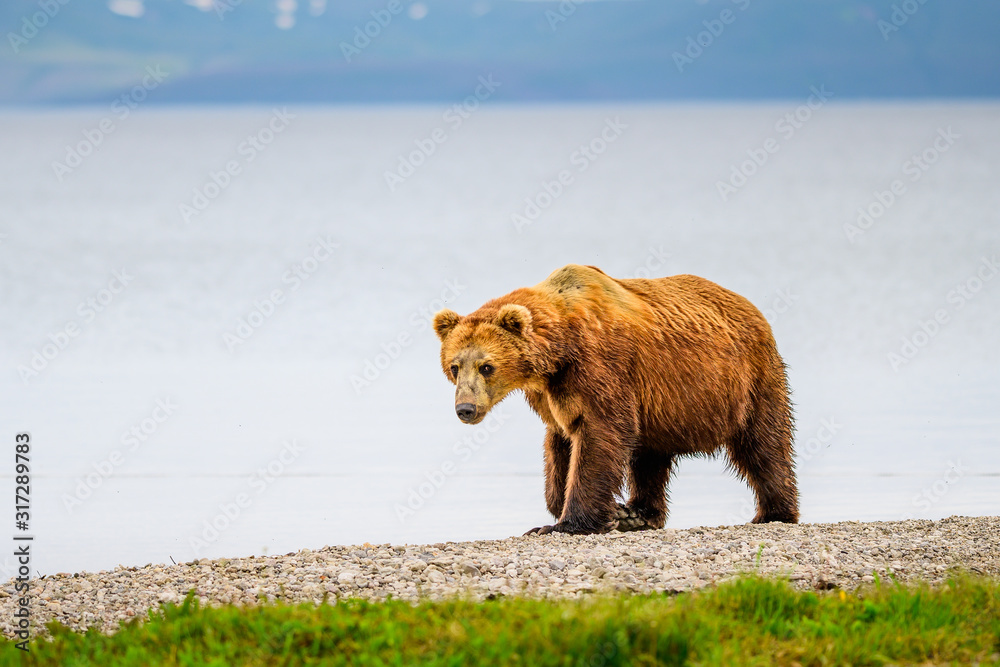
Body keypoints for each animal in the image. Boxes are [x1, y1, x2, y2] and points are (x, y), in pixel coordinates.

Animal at [432, 264, 798, 535]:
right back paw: (639, 514)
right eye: (454, 366)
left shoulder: (600, 367)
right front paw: (566, 505)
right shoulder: (551, 393)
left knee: (763, 443)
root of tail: (749, 306)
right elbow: (561, 441)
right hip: (661, 408)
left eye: (487, 366)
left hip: (748, 380)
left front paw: (566, 523)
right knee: (649, 457)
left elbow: (601, 434)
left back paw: (774, 512)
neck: (559, 352)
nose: (465, 409)